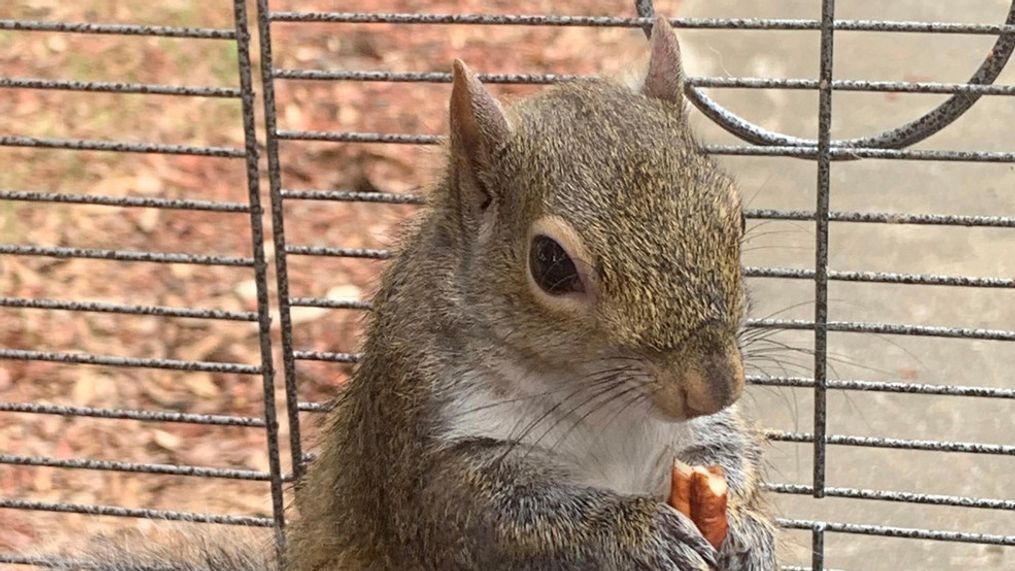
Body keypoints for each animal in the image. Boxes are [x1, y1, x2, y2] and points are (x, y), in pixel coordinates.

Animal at [51, 16, 771, 571]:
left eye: (735, 217)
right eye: (550, 264)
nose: (713, 385)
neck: (604, 409)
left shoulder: (693, 438)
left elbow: (724, 458)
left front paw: (745, 527)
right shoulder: (421, 437)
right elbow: (494, 517)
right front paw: (636, 531)